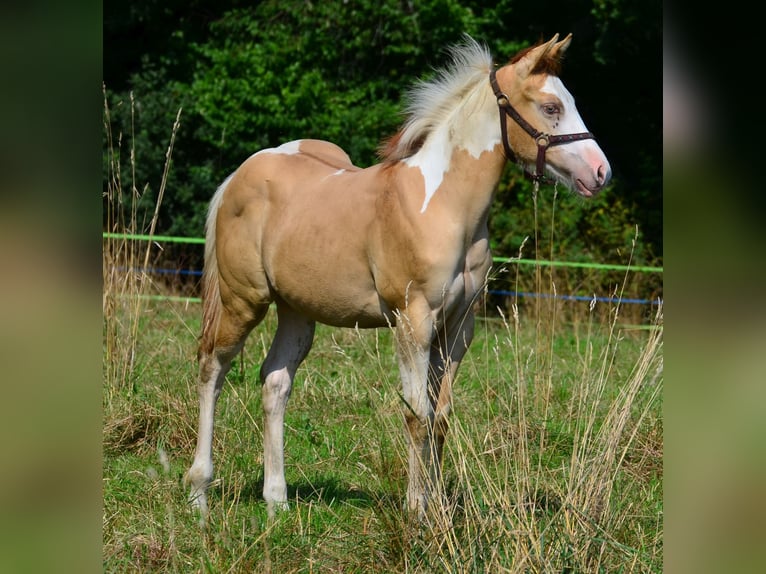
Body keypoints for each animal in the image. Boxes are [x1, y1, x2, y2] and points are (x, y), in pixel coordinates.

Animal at [185, 33, 611, 521]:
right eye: (550, 107)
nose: (601, 173)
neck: (443, 205)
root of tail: (239, 175)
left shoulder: (459, 326)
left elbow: (441, 415)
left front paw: (438, 507)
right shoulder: (413, 321)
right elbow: (416, 415)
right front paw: (416, 512)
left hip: (296, 310)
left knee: (275, 382)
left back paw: (277, 500)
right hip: (244, 300)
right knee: (212, 369)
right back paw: (199, 492)